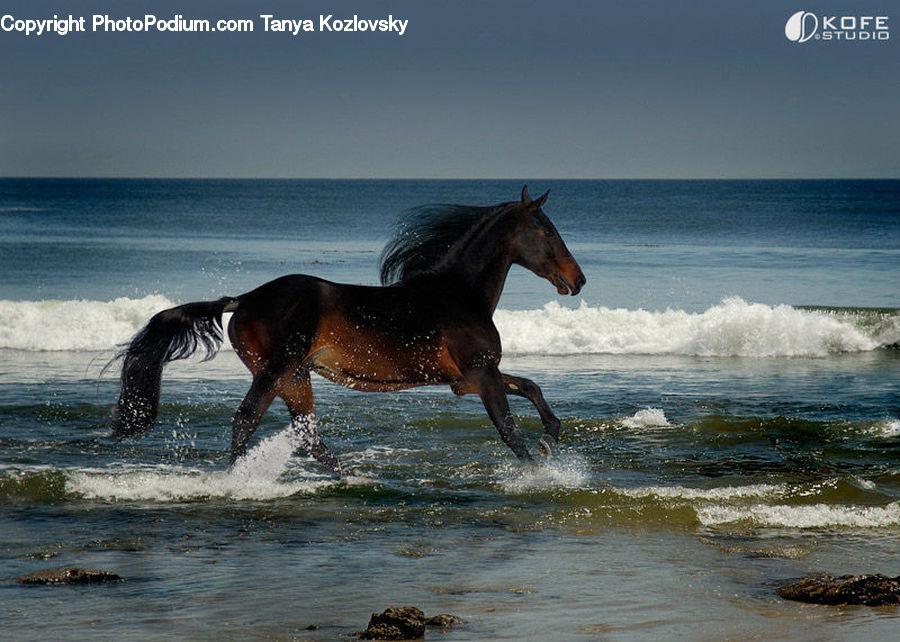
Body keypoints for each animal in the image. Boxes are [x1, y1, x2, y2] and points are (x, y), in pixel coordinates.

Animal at [110, 186, 586, 477]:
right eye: (547, 230)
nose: (577, 280)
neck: (458, 295)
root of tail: (243, 299)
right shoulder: (481, 375)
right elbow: (509, 428)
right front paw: (541, 473)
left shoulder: (465, 380)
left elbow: (532, 387)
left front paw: (550, 441)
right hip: (277, 371)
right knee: (247, 419)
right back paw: (237, 480)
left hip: (295, 377)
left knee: (308, 435)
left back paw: (352, 477)